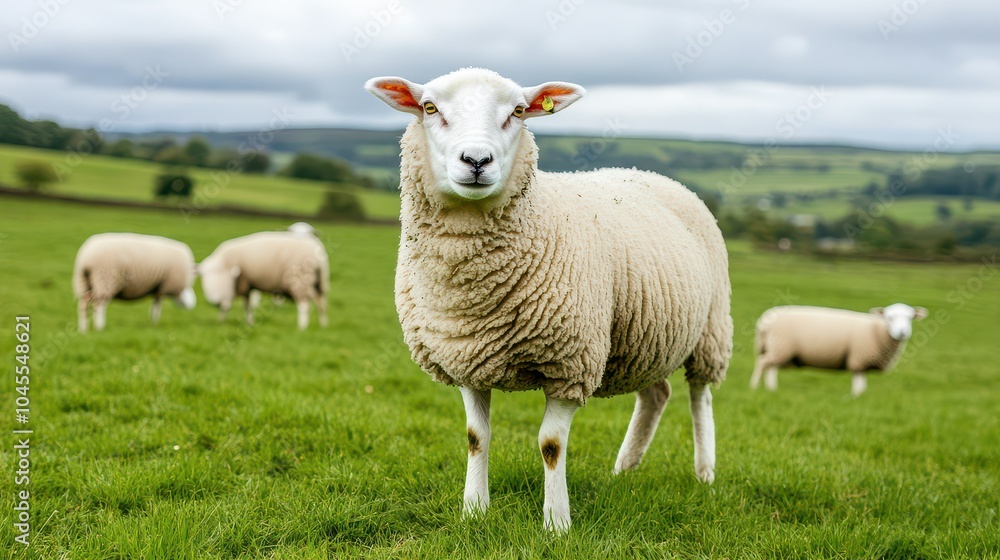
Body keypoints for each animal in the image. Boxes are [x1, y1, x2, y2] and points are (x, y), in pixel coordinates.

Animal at [197, 225, 329, 330]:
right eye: (204, 278)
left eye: (219, 275)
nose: (214, 301)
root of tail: (318, 255)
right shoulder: (247, 284)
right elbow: (247, 306)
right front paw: (248, 322)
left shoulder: (240, 284)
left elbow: (232, 306)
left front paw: (225, 320)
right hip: (320, 283)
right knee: (321, 303)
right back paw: (323, 325)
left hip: (300, 282)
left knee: (304, 305)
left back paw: (302, 327)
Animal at [365, 68, 733, 532]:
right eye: (429, 108)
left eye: (519, 111)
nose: (477, 161)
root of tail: (652, 173)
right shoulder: (466, 354)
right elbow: (475, 437)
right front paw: (474, 510)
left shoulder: (570, 361)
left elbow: (551, 445)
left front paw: (557, 524)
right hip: (646, 335)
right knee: (657, 394)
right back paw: (624, 470)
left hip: (710, 330)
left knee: (700, 396)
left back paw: (705, 473)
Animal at [749, 303, 928, 397]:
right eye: (889, 317)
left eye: (911, 317)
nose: (902, 332)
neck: (877, 330)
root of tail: (763, 321)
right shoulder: (858, 358)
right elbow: (858, 384)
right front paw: (856, 397)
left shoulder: (861, 361)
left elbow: (862, 384)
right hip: (780, 346)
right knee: (763, 363)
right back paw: (755, 387)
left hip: (776, 348)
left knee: (770, 367)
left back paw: (771, 389)